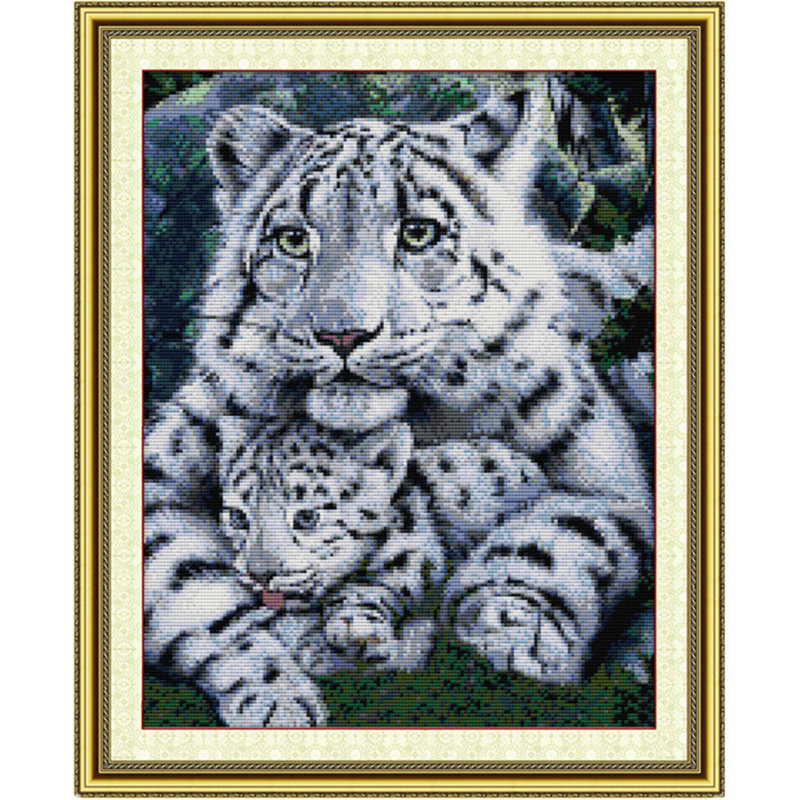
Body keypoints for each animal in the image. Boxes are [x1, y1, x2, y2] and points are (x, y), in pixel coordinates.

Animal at [144, 81, 654, 726]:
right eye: (292, 239)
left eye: (418, 232)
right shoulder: (161, 480)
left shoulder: (609, 478)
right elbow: (195, 590)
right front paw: (278, 694)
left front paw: (511, 631)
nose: (342, 334)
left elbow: (560, 534)